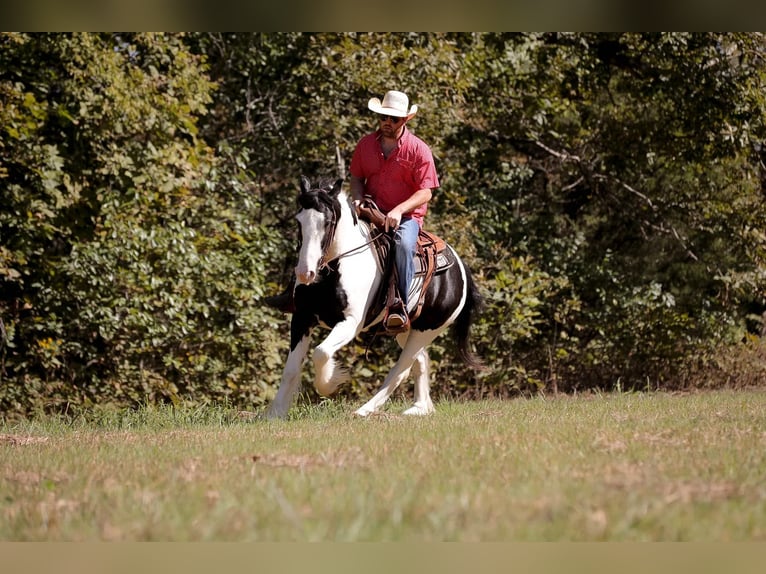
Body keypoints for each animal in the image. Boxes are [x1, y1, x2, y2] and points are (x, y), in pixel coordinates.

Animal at [264, 176, 480, 418]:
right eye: (298, 221)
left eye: (327, 222)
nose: (305, 273)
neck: (334, 269)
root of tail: (460, 268)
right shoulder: (302, 318)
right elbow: (291, 369)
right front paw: (274, 414)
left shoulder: (351, 323)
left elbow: (321, 353)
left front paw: (331, 382)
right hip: (407, 331)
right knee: (421, 361)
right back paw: (420, 408)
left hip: (427, 330)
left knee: (400, 370)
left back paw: (364, 410)